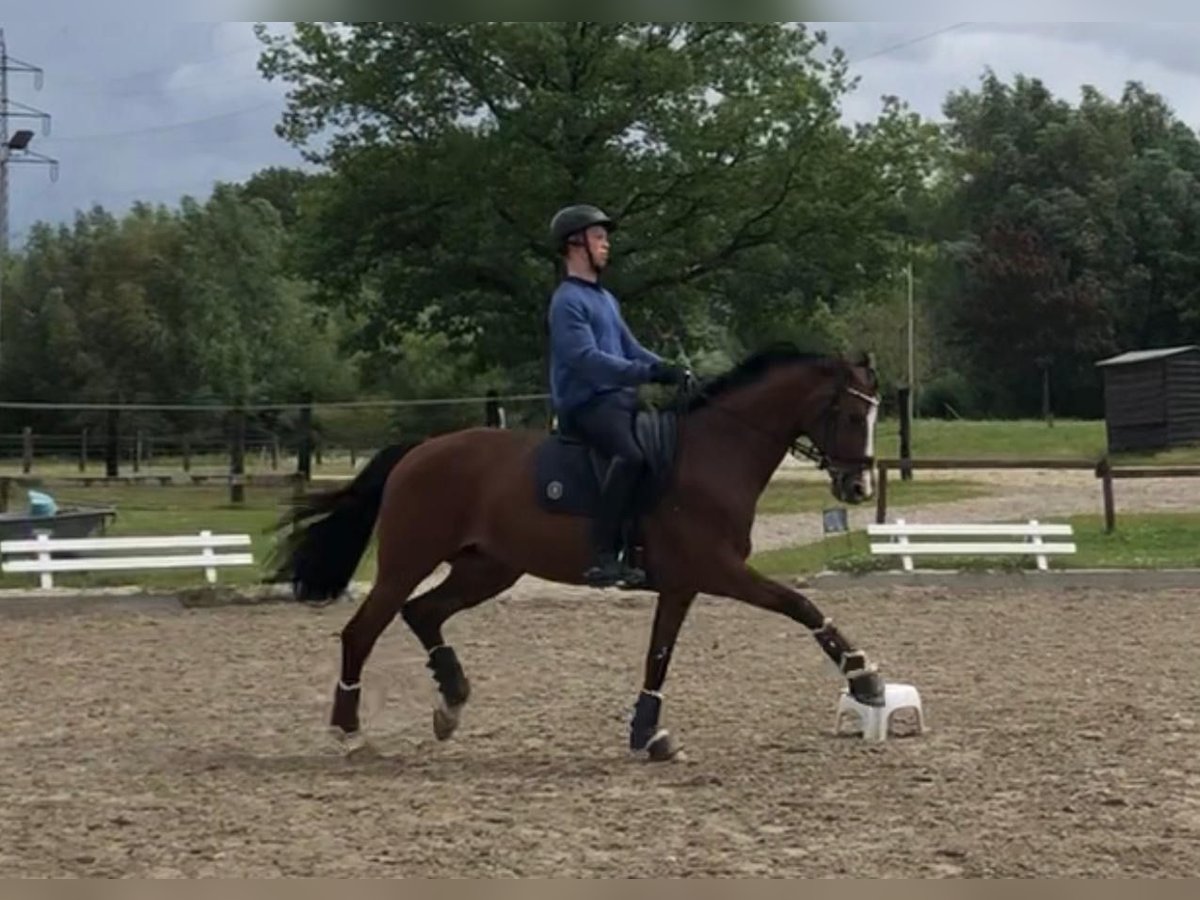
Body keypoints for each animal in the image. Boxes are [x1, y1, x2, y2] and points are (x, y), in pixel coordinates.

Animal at [274, 343, 892, 763]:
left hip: (489, 568)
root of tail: (419, 451)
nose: (857, 488)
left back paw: (450, 703)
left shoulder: (682, 583)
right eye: (850, 414)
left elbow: (658, 656)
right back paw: (350, 733)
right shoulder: (720, 570)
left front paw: (650, 735)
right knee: (362, 632)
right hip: (408, 562)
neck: (716, 454)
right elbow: (799, 606)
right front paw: (864, 679)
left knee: (423, 612)